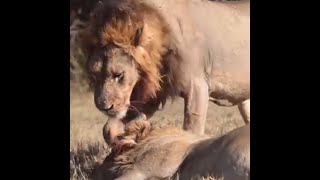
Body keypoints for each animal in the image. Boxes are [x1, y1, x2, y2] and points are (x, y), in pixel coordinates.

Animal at [80, 0, 250, 138]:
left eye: (118, 74)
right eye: (94, 75)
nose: (103, 107)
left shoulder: (198, 86)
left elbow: (191, 130)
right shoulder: (153, 95)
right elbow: (108, 128)